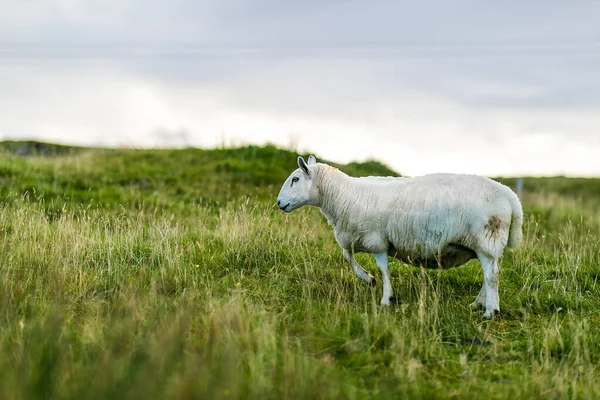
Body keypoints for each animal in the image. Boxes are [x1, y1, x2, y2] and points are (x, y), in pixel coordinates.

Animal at [274, 155, 524, 318]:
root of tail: (511, 196)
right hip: (487, 244)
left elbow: (383, 269)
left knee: (491, 276)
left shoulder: (377, 240)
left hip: (486, 239)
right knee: (490, 273)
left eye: (295, 179)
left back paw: (490, 311)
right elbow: (347, 256)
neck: (342, 195)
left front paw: (386, 298)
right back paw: (478, 304)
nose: (278, 203)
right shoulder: (355, 237)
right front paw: (368, 279)